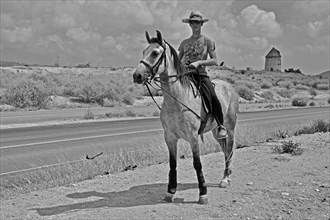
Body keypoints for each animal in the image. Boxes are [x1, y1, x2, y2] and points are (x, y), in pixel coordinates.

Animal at [133, 30, 238, 205]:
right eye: (143, 52)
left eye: (155, 53)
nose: (137, 75)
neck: (177, 99)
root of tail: (229, 86)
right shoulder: (170, 137)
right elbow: (172, 164)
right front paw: (170, 192)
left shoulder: (193, 137)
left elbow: (197, 164)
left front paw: (203, 194)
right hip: (216, 132)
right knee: (225, 150)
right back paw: (226, 177)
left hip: (229, 128)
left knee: (229, 149)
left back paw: (225, 179)